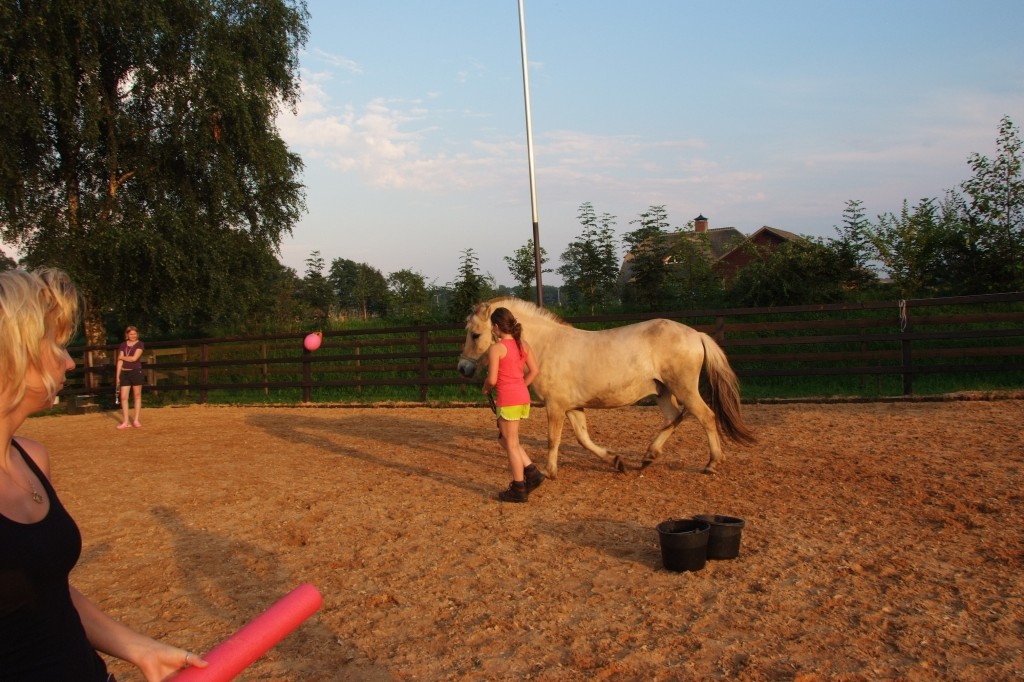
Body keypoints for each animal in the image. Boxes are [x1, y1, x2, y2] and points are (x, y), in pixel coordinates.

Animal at [457, 297, 755, 479]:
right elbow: (583, 438)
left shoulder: (555, 405)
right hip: (663, 392)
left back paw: (711, 463)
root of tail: (696, 334)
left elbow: (554, 439)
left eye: (475, 334)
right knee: (675, 418)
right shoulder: (573, 407)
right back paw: (648, 456)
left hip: (684, 389)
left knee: (706, 417)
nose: (463, 368)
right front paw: (615, 461)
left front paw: (549, 472)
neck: (547, 346)